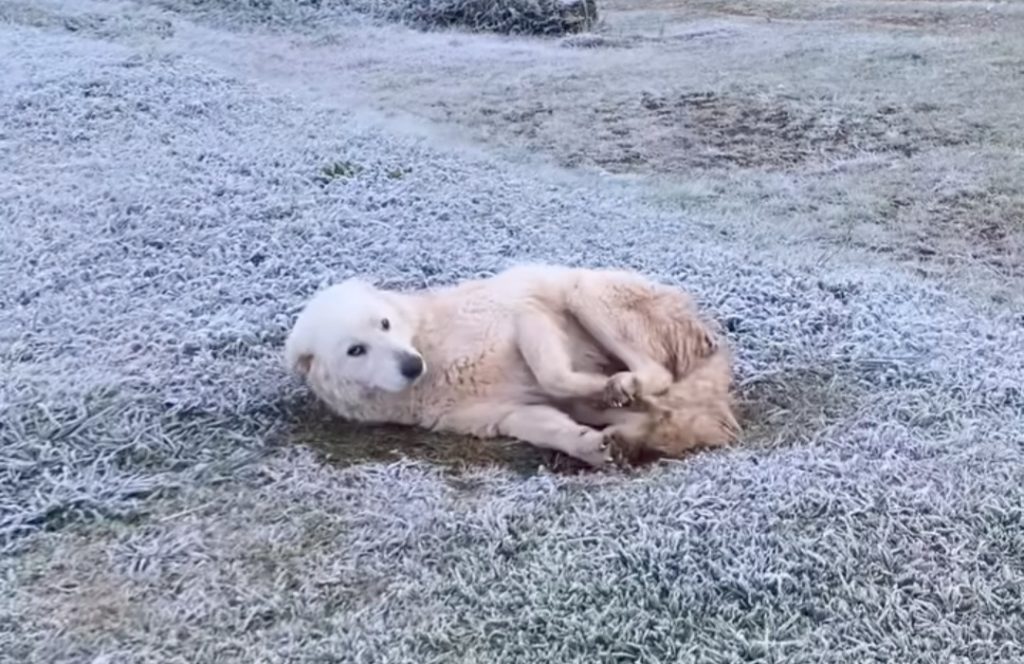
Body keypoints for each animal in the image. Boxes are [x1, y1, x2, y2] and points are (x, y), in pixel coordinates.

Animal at [284, 262, 741, 467]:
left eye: (384, 323)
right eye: (355, 350)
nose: (412, 365)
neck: (432, 348)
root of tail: (707, 334)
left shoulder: (525, 313)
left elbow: (553, 375)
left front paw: (600, 384)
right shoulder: (504, 414)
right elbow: (549, 427)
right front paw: (589, 447)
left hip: (583, 292)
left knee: (657, 376)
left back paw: (623, 385)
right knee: (655, 411)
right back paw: (626, 433)